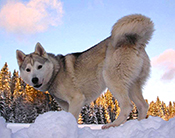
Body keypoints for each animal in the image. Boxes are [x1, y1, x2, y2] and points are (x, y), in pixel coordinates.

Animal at [16, 14, 153, 128]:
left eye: (39, 66)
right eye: (28, 70)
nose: (34, 79)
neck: (56, 72)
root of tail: (135, 42)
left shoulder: (77, 99)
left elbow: (73, 117)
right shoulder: (66, 105)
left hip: (112, 80)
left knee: (127, 106)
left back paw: (112, 125)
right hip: (132, 85)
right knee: (143, 106)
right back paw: (140, 124)